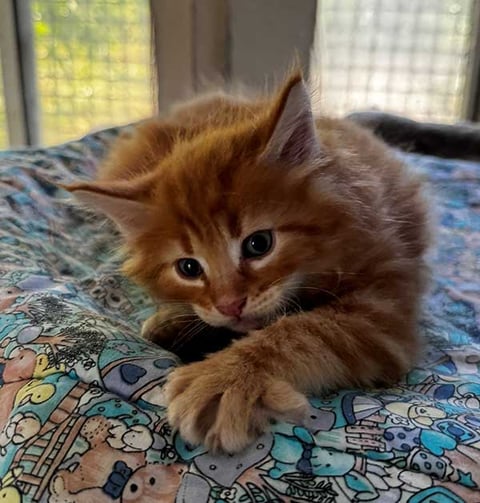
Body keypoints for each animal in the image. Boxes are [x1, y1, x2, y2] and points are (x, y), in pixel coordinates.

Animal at [64, 73, 432, 454]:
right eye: (188, 268)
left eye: (259, 245)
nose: (230, 305)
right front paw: (171, 323)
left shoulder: (386, 306)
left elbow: (302, 331)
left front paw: (225, 378)